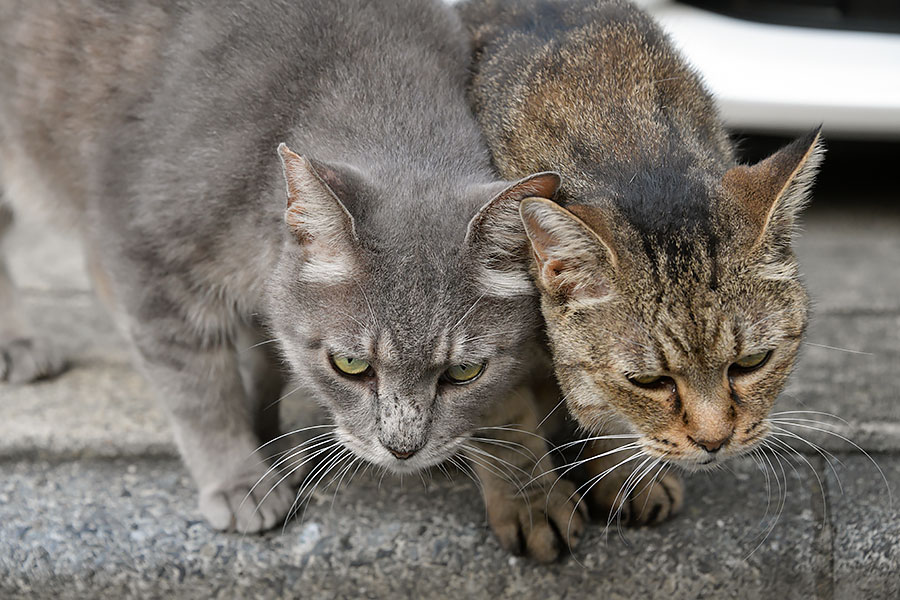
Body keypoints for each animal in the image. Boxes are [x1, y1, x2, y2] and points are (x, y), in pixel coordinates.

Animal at [0, 0, 584, 556]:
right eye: (349, 365)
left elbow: (268, 365)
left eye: (464, 372)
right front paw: (240, 478)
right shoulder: (143, 255)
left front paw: (529, 488)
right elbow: (199, 388)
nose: (402, 449)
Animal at [464, 0, 824, 524]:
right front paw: (533, 505)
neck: (628, 144)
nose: (714, 442)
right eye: (649, 381)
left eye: (752, 362)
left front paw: (625, 478)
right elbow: (506, 422)